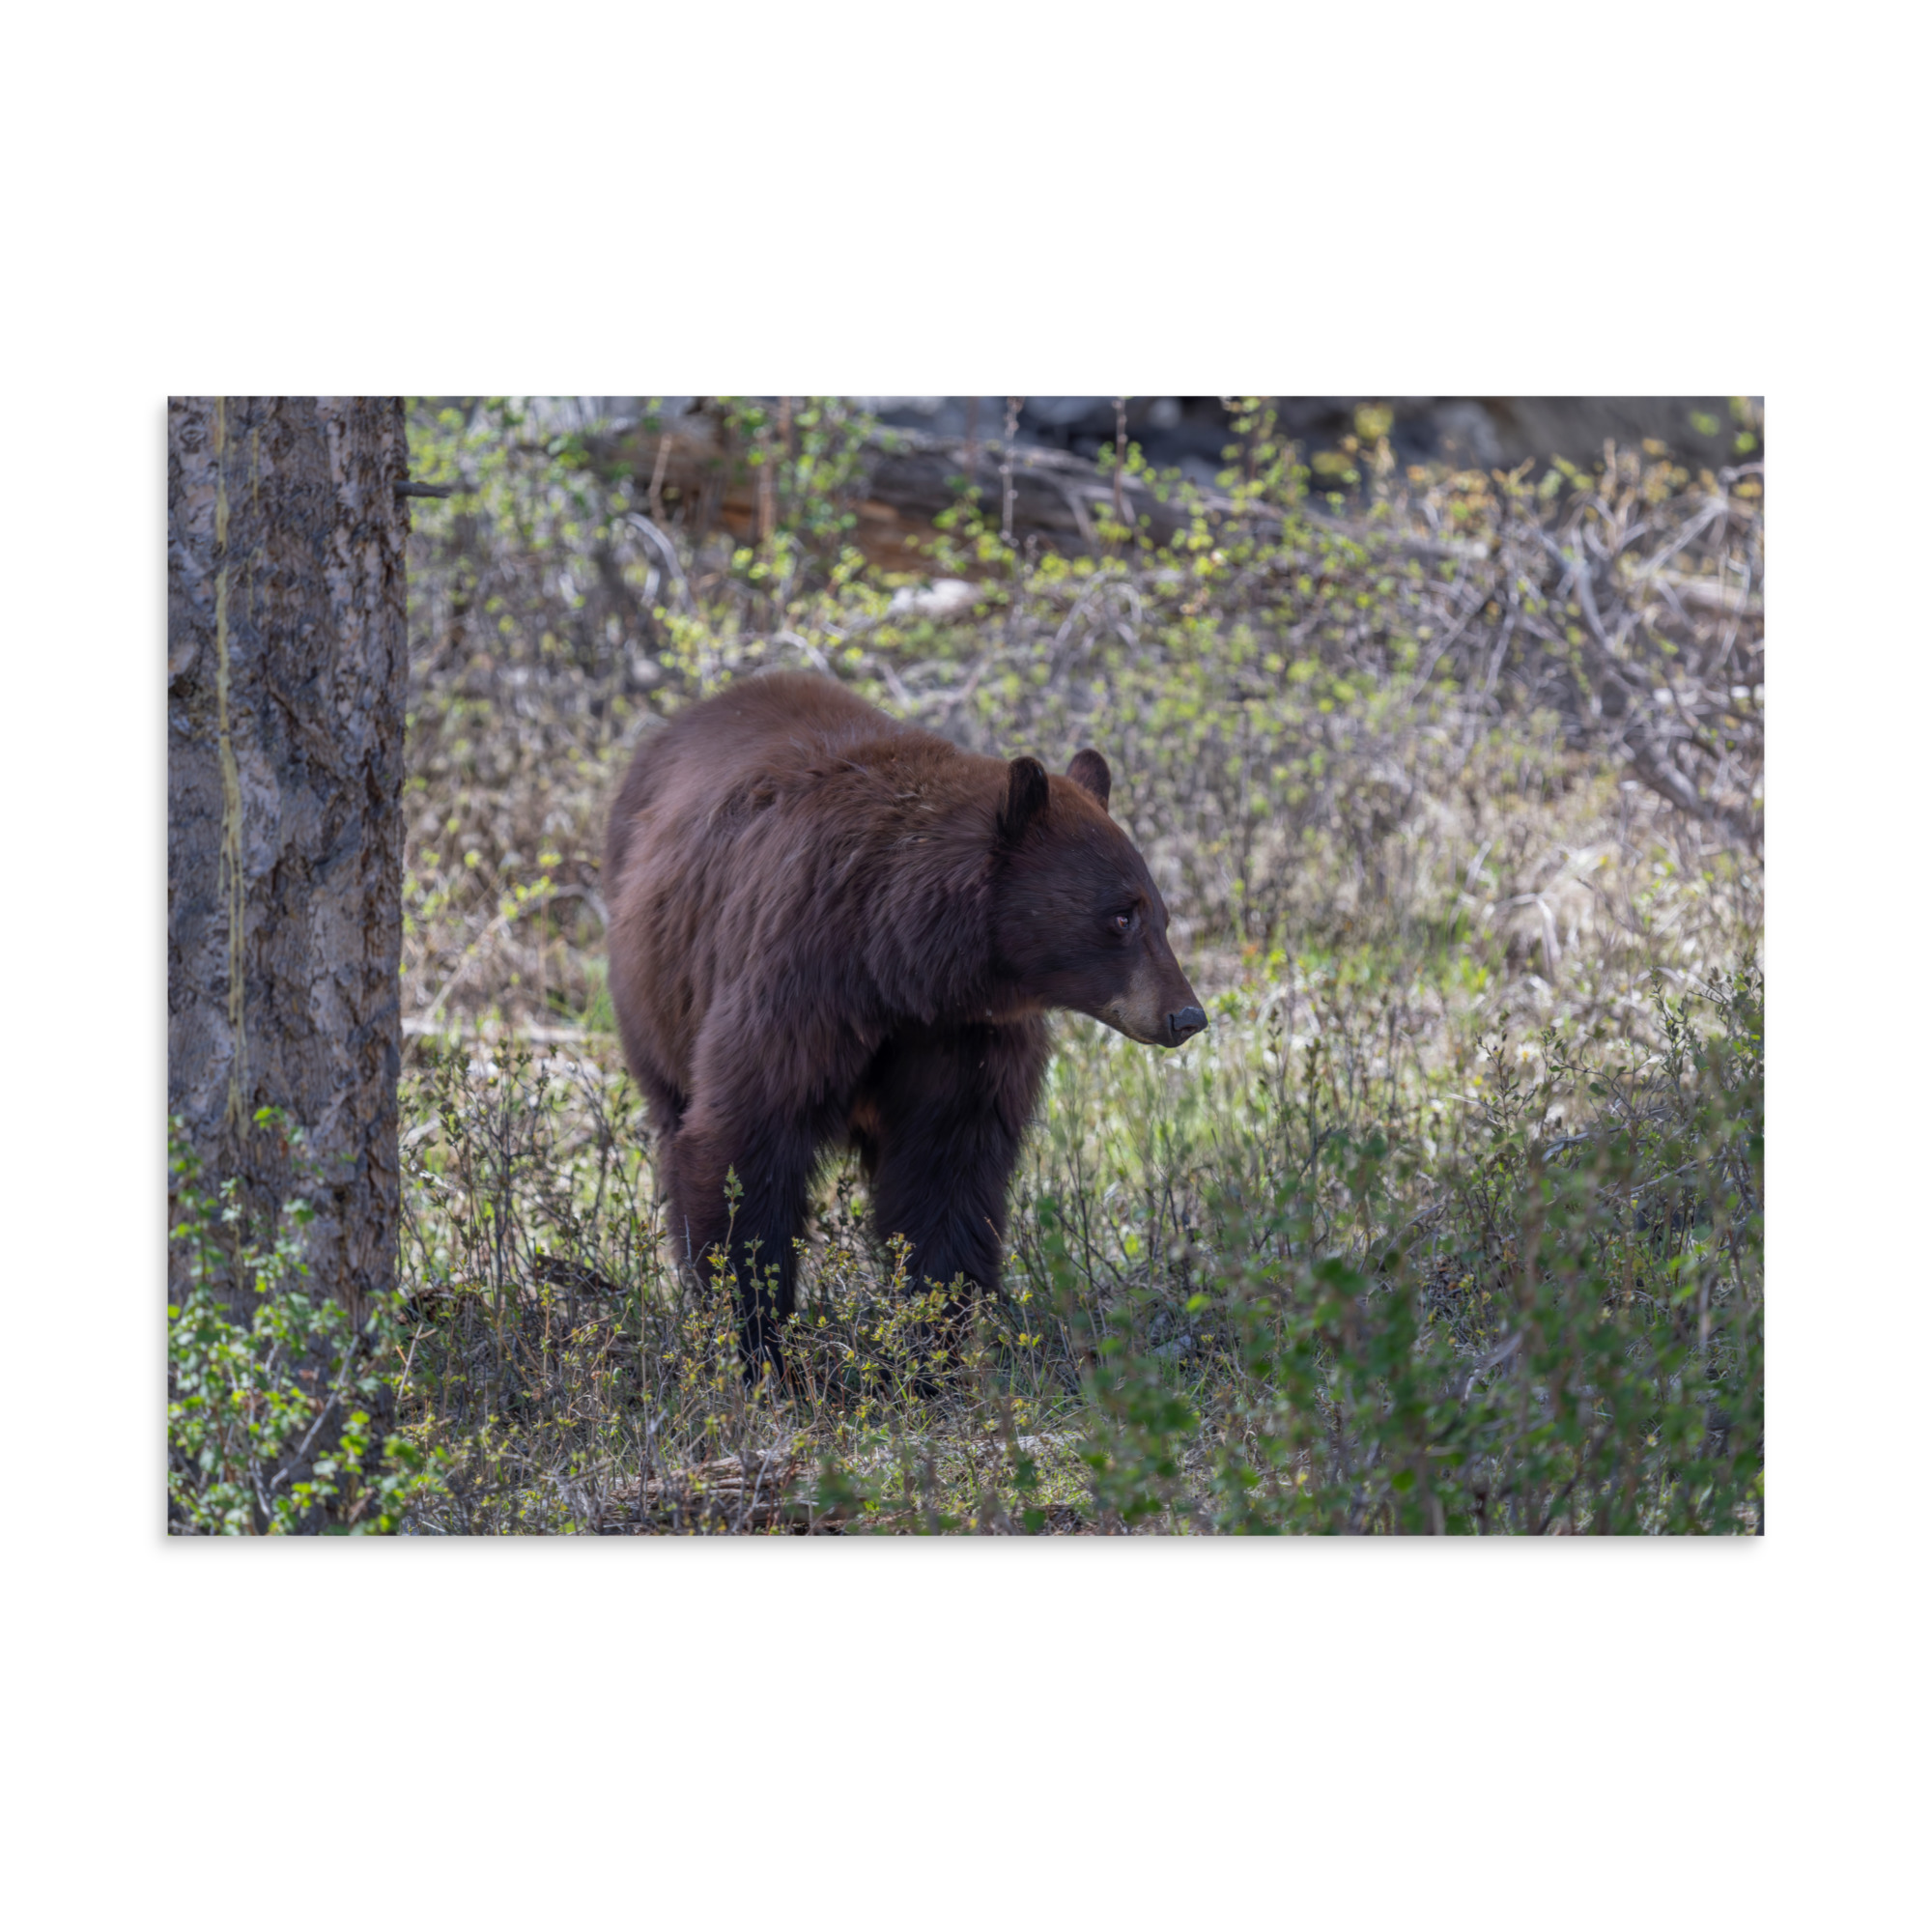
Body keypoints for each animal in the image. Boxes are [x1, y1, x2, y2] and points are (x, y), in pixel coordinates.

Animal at [602, 670, 1204, 1370]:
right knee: (674, 1117)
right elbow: (745, 1141)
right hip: (655, 994)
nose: (1186, 1015)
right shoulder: (797, 980)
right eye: (1121, 915)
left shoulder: (963, 1035)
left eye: (1161, 915)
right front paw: (758, 1344)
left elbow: (947, 1171)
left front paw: (933, 1348)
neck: (899, 962)